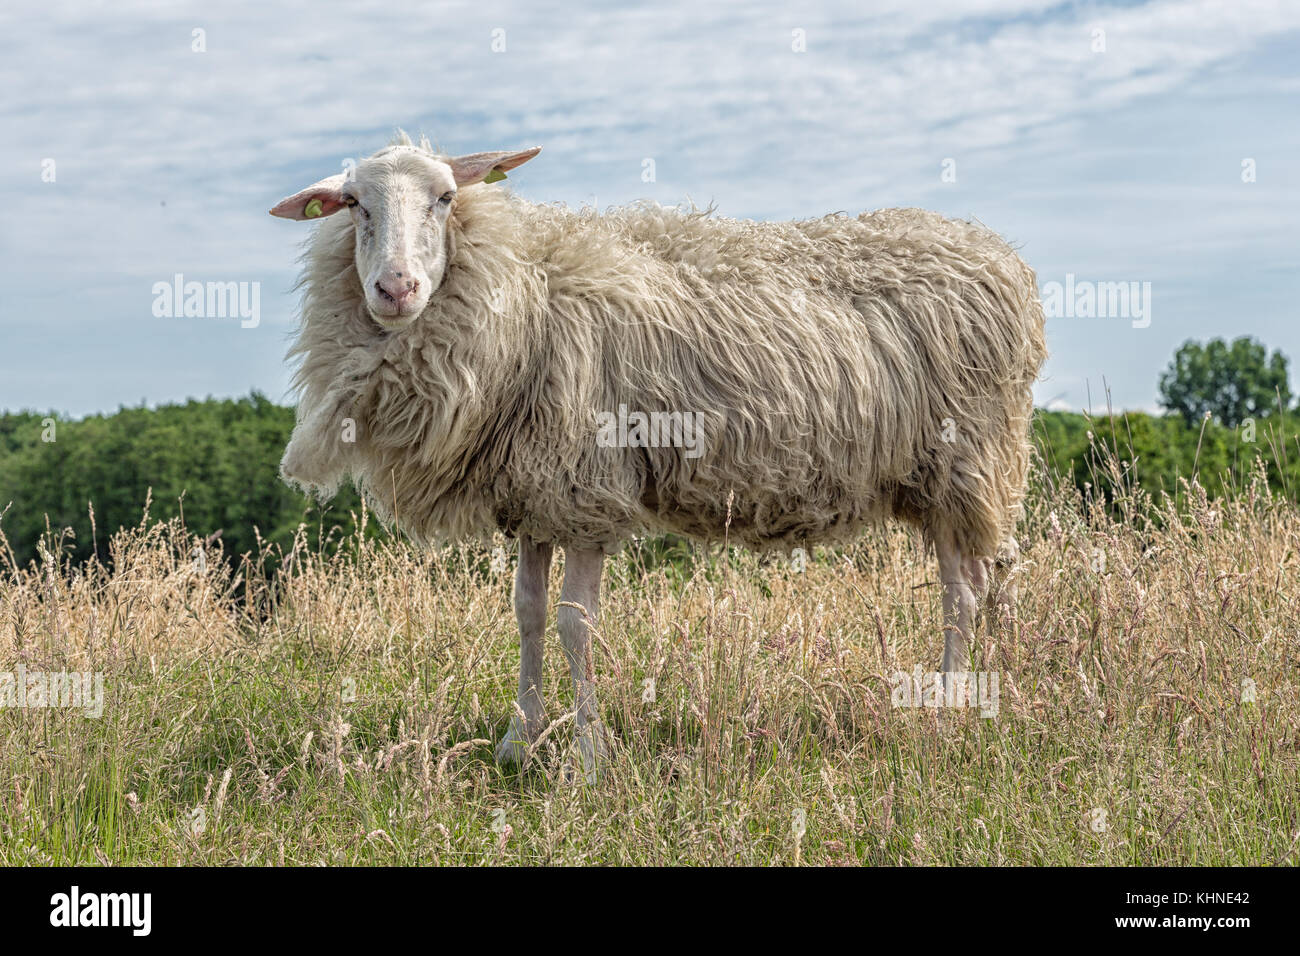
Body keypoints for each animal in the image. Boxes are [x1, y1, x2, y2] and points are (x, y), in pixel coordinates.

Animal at [271, 130, 1045, 780]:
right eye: (354, 205)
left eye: (444, 197)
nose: (395, 288)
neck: (526, 289)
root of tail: (1000, 255)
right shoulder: (533, 494)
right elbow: (527, 613)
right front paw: (519, 744)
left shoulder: (583, 488)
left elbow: (574, 624)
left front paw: (587, 760)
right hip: (946, 474)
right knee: (985, 580)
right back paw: (982, 695)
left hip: (966, 459)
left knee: (962, 592)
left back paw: (947, 710)